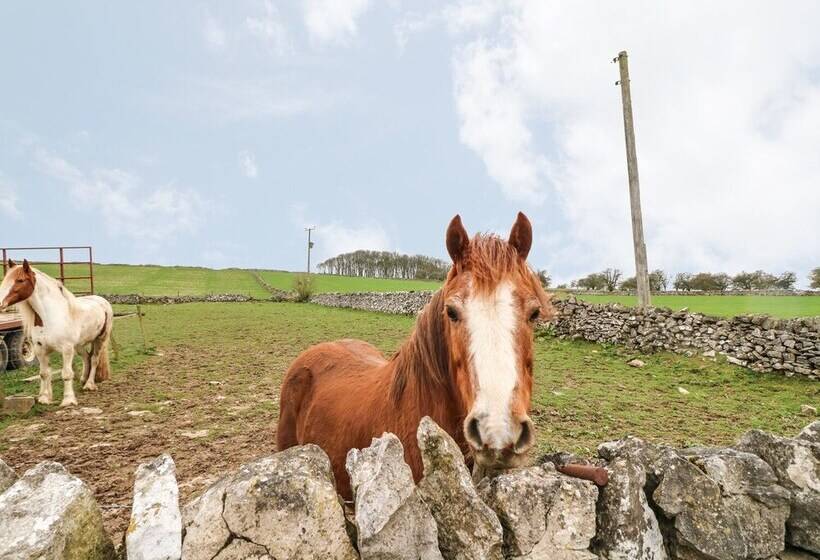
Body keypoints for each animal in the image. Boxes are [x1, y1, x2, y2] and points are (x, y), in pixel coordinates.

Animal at [0, 258, 113, 406]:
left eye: (20, 280)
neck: (50, 316)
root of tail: (102, 300)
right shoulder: (40, 350)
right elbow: (44, 373)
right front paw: (44, 398)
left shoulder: (67, 349)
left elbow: (66, 374)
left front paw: (68, 400)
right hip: (79, 345)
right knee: (86, 357)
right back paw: (83, 379)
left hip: (100, 339)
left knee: (94, 359)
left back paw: (89, 384)